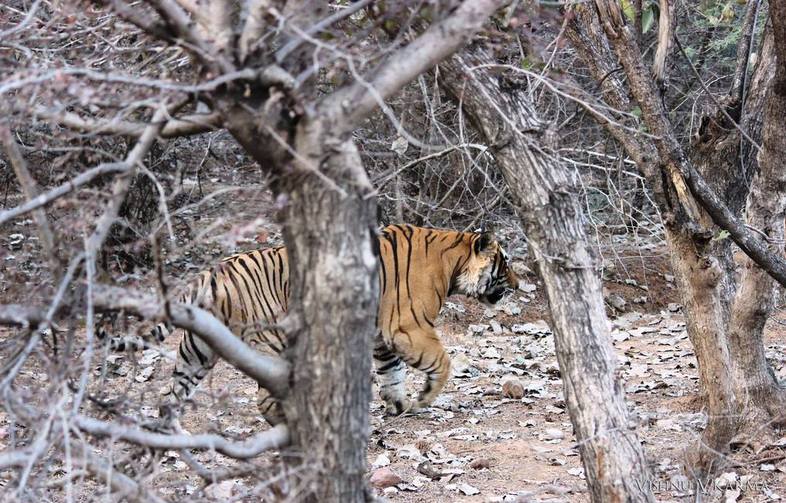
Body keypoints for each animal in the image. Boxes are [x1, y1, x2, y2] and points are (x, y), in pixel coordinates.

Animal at [105, 224, 520, 426]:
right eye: (506, 264)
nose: (518, 285)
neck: (452, 263)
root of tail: (209, 274)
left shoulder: (381, 336)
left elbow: (391, 373)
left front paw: (399, 405)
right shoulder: (409, 327)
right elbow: (441, 362)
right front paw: (425, 398)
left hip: (197, 350)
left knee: (173, 393)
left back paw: (165, 428)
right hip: (274, 341)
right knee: (266, 396)